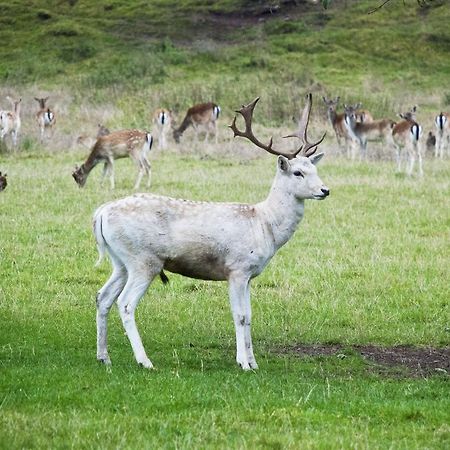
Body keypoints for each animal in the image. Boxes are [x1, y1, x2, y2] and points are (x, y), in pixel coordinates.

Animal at [93, 93, 328, 370]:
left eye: (316, 170)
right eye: (298, 172)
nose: (325, 190)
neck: (264, 225)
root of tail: (101, 213)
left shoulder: (249, 274)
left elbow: (250, 316)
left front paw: (254, 363)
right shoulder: (237, 268)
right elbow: (240, 315)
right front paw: (243, 363)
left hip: (120, 260)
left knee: (103, 296)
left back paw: (103, 356)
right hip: (144, 259)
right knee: (126, 303)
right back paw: (145, 361)